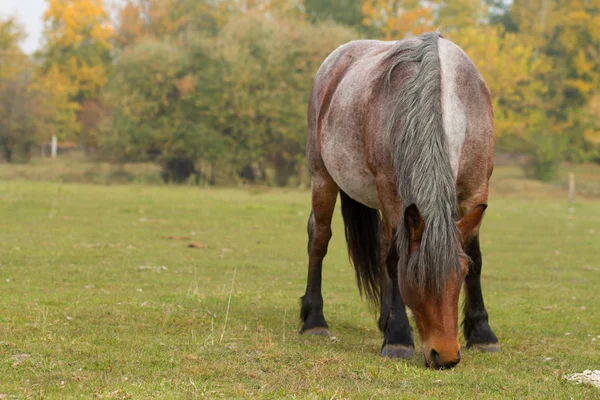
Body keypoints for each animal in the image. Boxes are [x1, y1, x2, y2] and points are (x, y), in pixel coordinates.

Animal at [298, 31, 500, 368]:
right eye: (414, 278)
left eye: (460, 274)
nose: (445, 356)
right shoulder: (391, 191)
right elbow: (394, 257)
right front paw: (398, 338)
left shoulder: (476, 189)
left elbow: (476, 255)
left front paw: (483, 334)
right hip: (322, 177)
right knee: (319, 238)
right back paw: (314, 320)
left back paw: (383, 319)